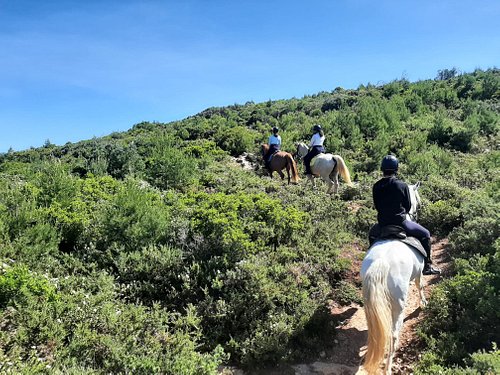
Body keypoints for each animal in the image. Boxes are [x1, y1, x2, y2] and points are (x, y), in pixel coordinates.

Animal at [360, 183, 426, 375]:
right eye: (416, 199)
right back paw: (388, 366)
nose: (416, 212)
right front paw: (424, 303)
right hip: (398, 305)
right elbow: (420, 285)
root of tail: (381, 263)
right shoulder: (419, 271)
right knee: (393, 335)